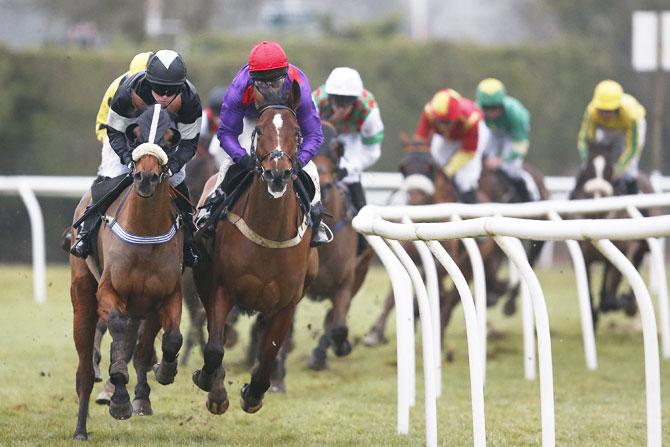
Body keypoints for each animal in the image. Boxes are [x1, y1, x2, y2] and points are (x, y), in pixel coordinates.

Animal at [70, 106, 184, 440]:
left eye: (170, 137)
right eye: (136, 134)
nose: (145, 177)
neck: (144, 229)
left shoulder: (169, 293)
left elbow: (173, 338)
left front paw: (165, 370)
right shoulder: (110, 291)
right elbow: (118, 333)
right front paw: (119, 398)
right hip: (82, 297)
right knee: (85, 367)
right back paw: (80, 429)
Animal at [190, 81, 318, 416]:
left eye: (296, 131)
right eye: (259, 130)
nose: (278, 173)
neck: (268, 233)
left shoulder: (286, 302)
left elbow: (270, 353)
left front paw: (255, 393)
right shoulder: (222, 288)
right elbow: (215, 347)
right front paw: (212, 387)